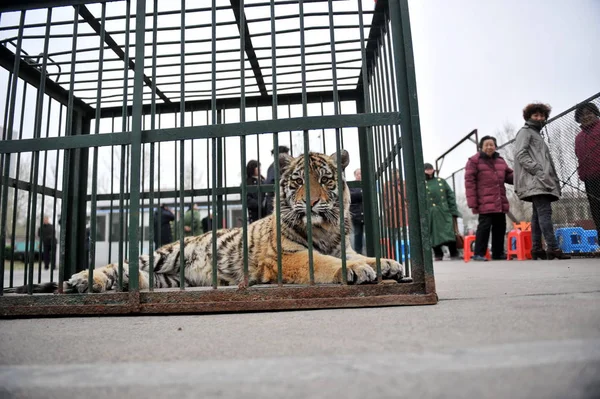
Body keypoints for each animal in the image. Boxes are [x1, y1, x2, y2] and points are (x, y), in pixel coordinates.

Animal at [22, 150, 404, 294]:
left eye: (325, 180)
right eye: (297, 182)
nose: (310, 202)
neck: (324, 228)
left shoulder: (343, 245)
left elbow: (357, 255)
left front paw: (387, 263)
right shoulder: (286, 257)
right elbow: (324, 263)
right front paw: (356, 271)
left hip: (171, 279)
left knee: (139, 276)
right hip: (163, 255)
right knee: (117, 264)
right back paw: (84, 281)